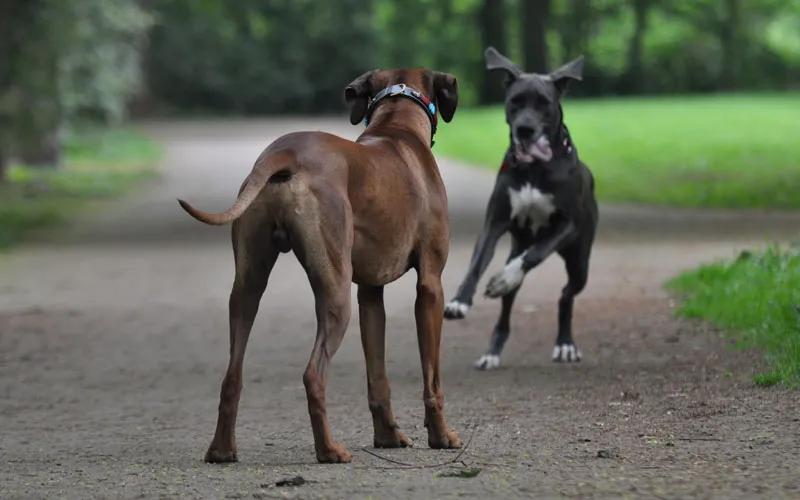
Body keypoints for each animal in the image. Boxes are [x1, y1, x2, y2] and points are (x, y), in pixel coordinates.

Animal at [177, 67, 460, 464]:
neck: (396, 126)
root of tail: (284, 152)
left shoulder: (369, 294)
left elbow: (378, 377)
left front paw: (388, 436)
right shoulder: (431, 287)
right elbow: (432, 377)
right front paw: (440, 436)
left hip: (248, 287)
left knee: (232, 372)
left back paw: (221, 449)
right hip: (335, 293)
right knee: (313, 374)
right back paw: (328, 450)